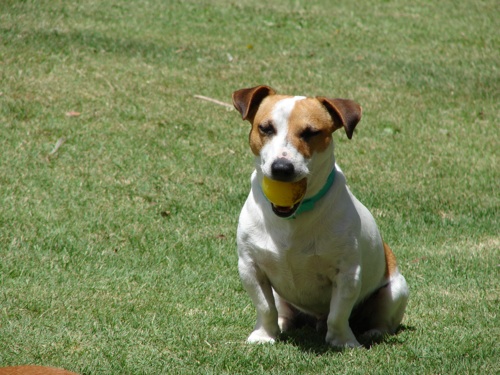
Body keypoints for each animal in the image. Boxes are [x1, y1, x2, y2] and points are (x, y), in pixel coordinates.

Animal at [232, 85, 408, 350]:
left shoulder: (347, 273)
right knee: (281, 310)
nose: (281, 168)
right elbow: (265, 308)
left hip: (396, 291)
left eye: (311, 132)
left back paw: (373, 332)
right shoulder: (250, 267)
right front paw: (264, 335)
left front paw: (343, 342)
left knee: (381, 318)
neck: (294, 217)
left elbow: (338, 315)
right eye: (266, 128)